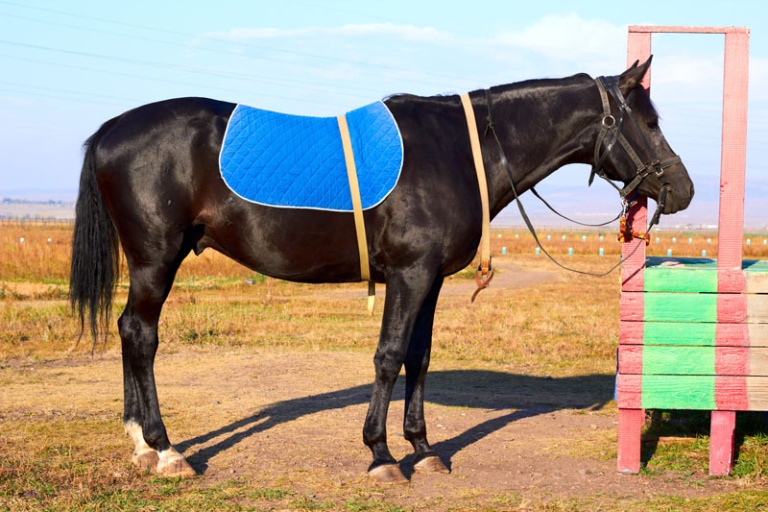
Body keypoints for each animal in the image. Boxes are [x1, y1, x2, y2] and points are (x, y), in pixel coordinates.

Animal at [69, 56, 694, 483]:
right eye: (648, 121)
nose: (682, 190)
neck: (458, 149)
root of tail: (111, 129)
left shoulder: (432, 278)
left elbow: (419, 357)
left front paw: (423, 448)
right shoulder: (409, 274)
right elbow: (389, 357)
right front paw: (381, 455)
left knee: (129, 331)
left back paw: (140, 442)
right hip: (156, 259)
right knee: (141, 335)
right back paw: (164, 448)